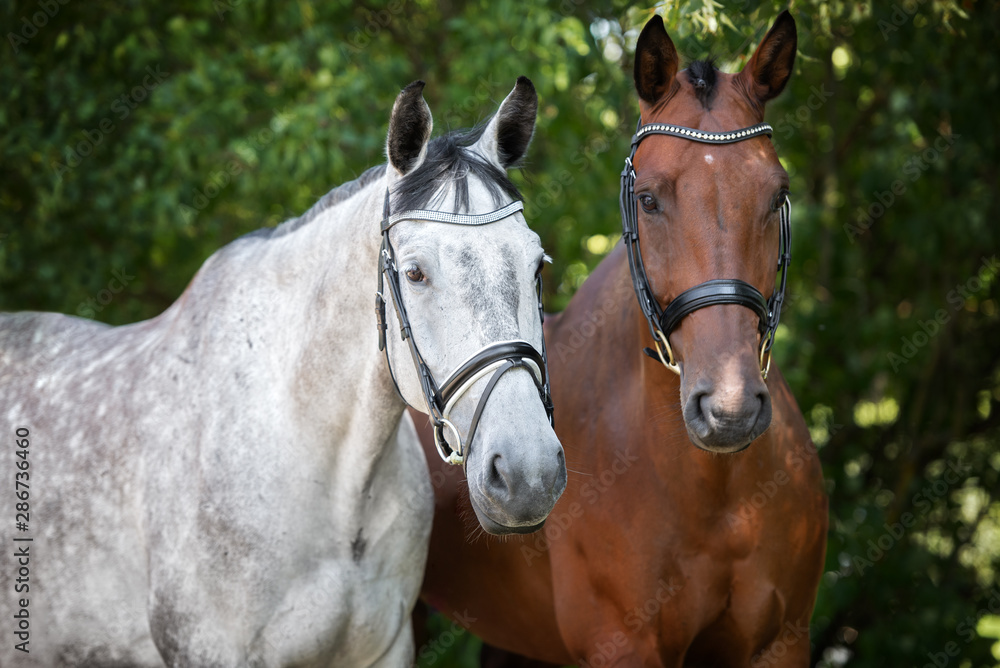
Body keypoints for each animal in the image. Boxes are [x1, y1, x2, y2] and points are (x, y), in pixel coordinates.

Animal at [418, 12, 828, 667]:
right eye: (648, 199)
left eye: (776, 195)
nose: (730, 408)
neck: (715, 495)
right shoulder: (622, 644)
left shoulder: (781, 642)